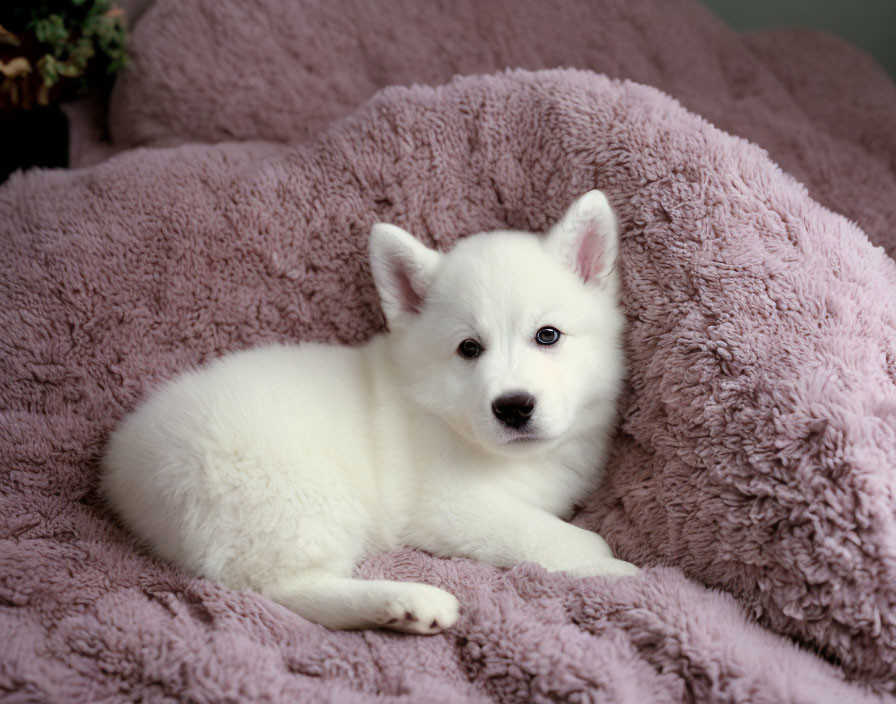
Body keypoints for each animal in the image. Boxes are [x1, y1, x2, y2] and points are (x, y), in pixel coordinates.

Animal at [101, 191, 636, 632]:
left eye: (548, 335)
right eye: (469, 348)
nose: (513, 407)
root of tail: (129, 468)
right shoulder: (456, 506)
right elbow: (568, 540)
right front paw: (617, 570)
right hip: (298, 498)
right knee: (279, 589)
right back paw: (405, 602)